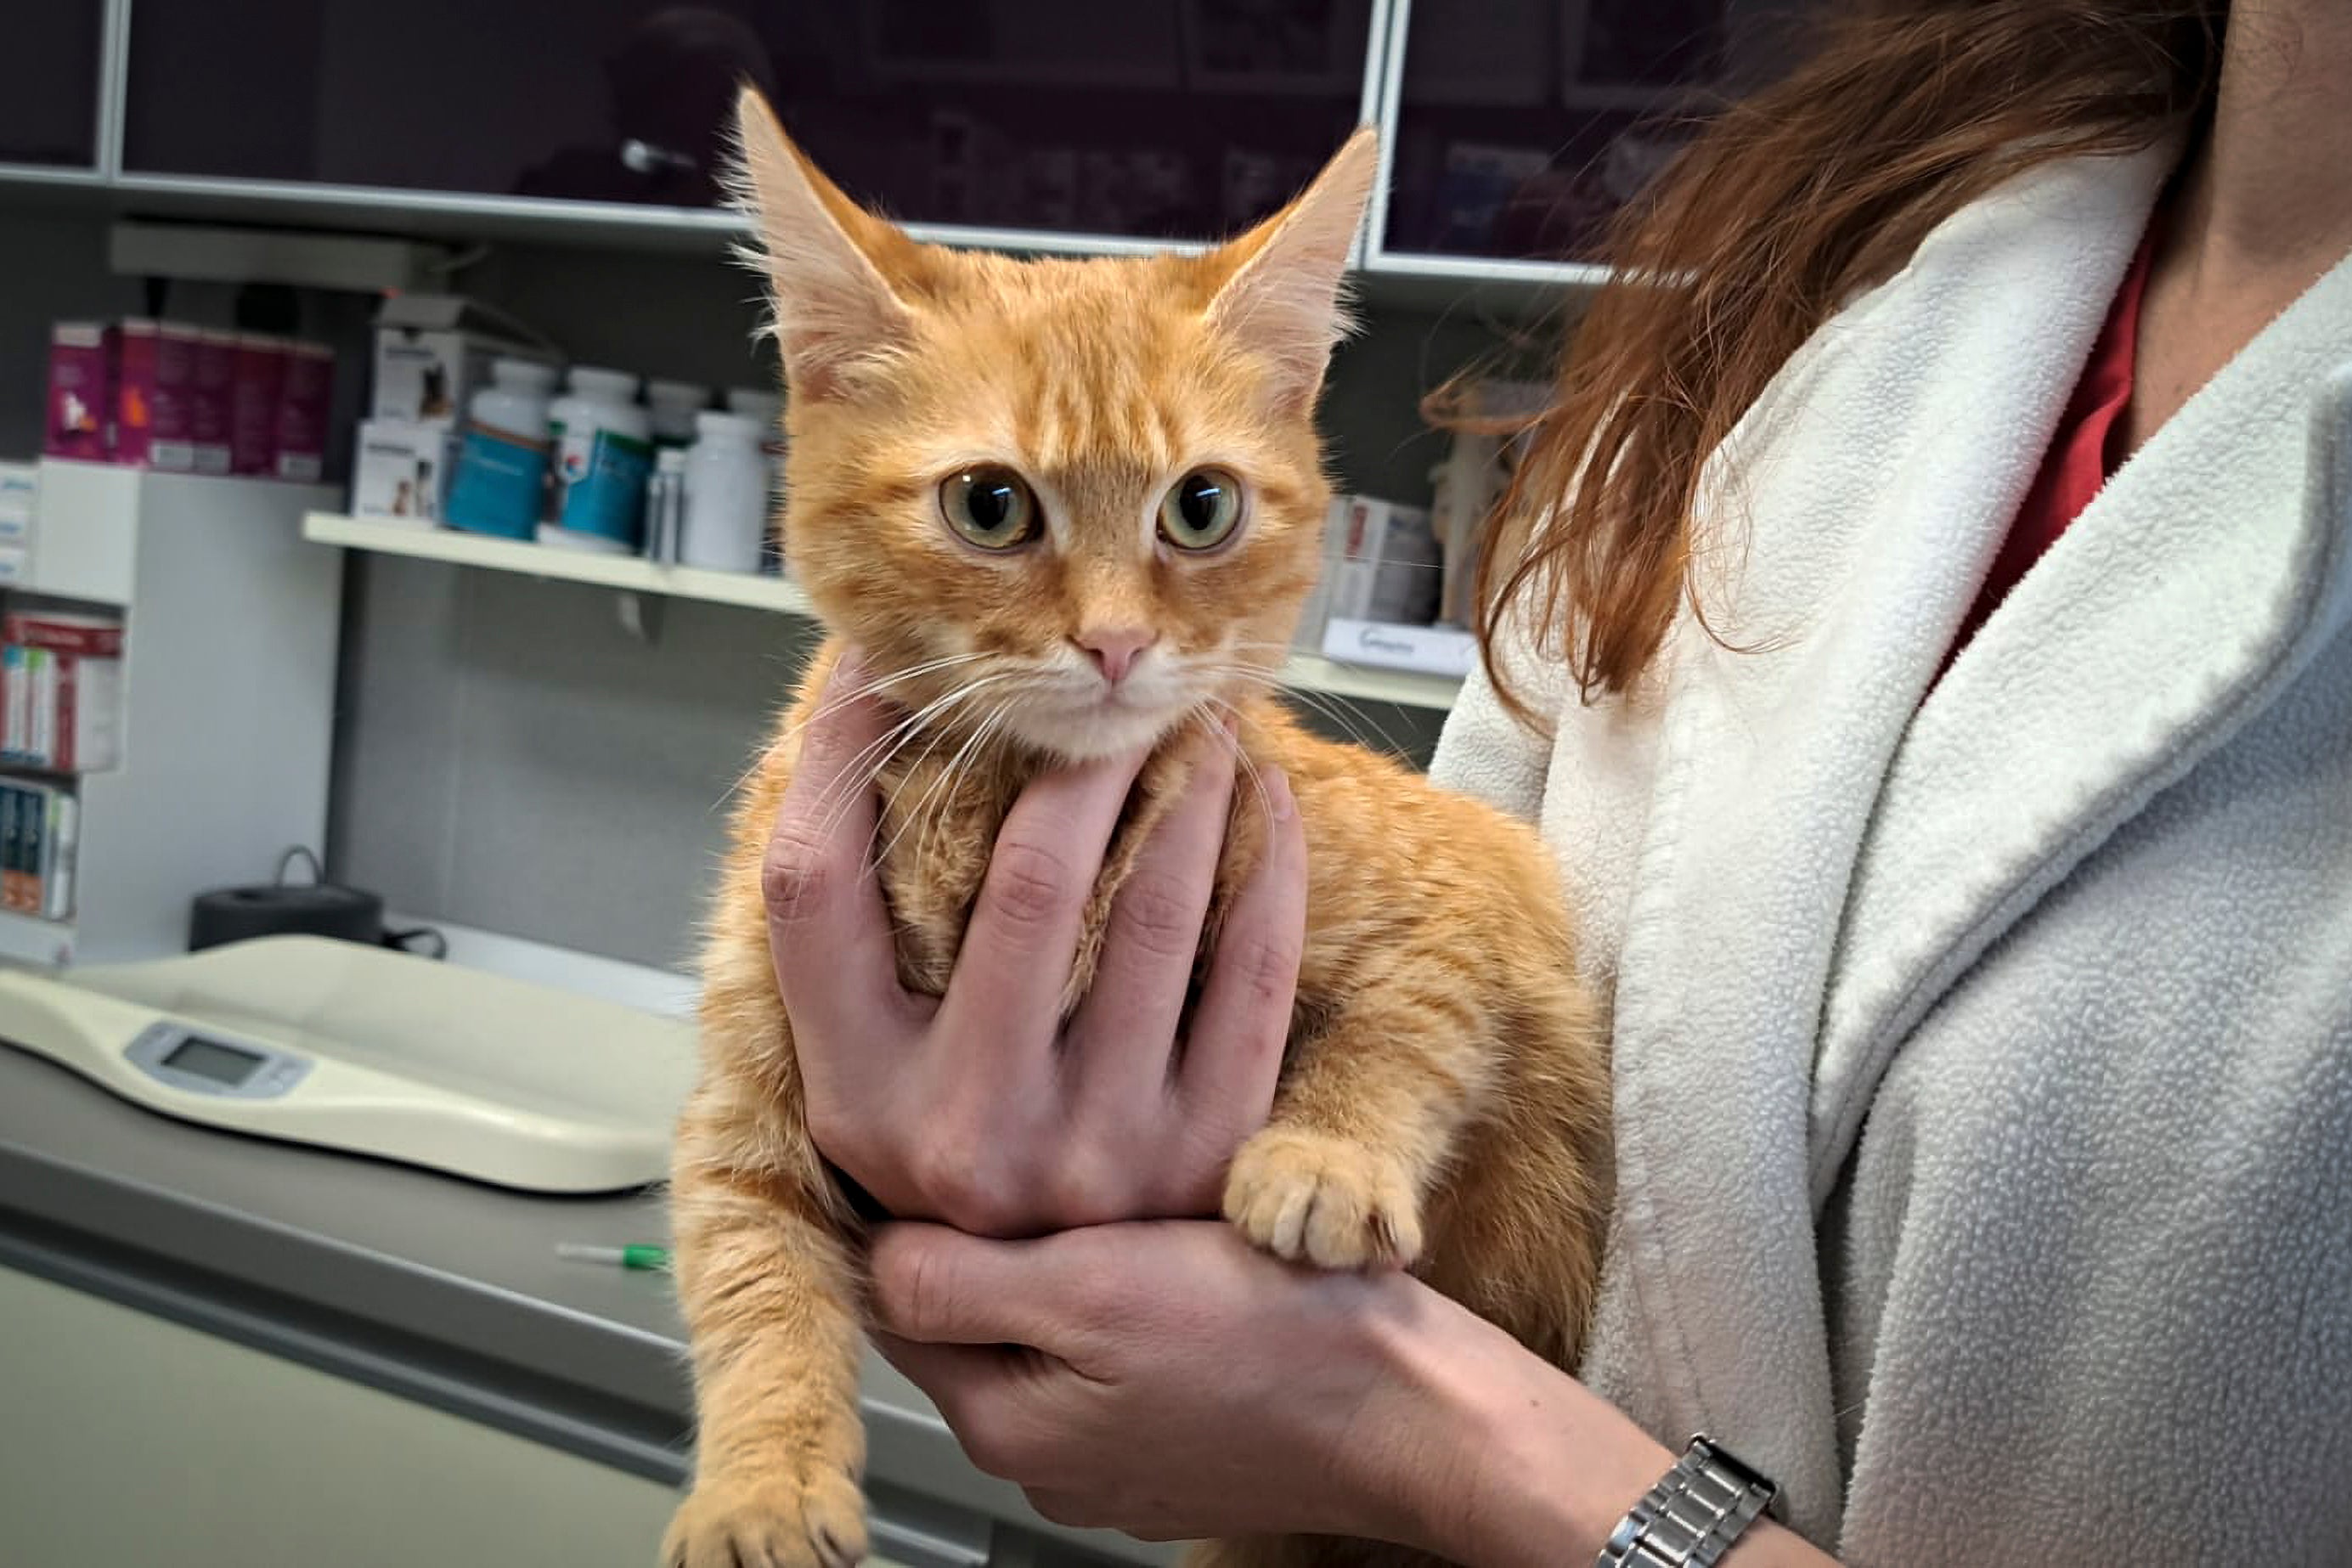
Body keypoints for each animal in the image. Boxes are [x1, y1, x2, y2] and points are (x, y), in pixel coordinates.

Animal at [672, 95, 1608, 1568]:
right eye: (989, 504)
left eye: (1201, 505)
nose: (1114, 642)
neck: (998, 801)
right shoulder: (747, 1104)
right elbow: (752, 1279)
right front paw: (760, 1487)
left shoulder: (1474, 893)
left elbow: (1411, 1025)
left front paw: (1326, 1155)